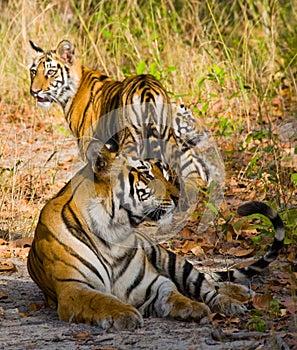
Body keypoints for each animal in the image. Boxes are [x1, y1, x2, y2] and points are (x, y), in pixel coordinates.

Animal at [27, 138, 284, 330]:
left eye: (166, 175)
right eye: (147, 175)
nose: (179, 197)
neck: (114, 232)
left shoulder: (153, 282)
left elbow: (173, 293)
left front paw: (193, 307)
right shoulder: (73, 288)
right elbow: (101, 299)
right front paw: (125, 314)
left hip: (170, 258)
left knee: (205, 283)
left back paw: (234, 299)